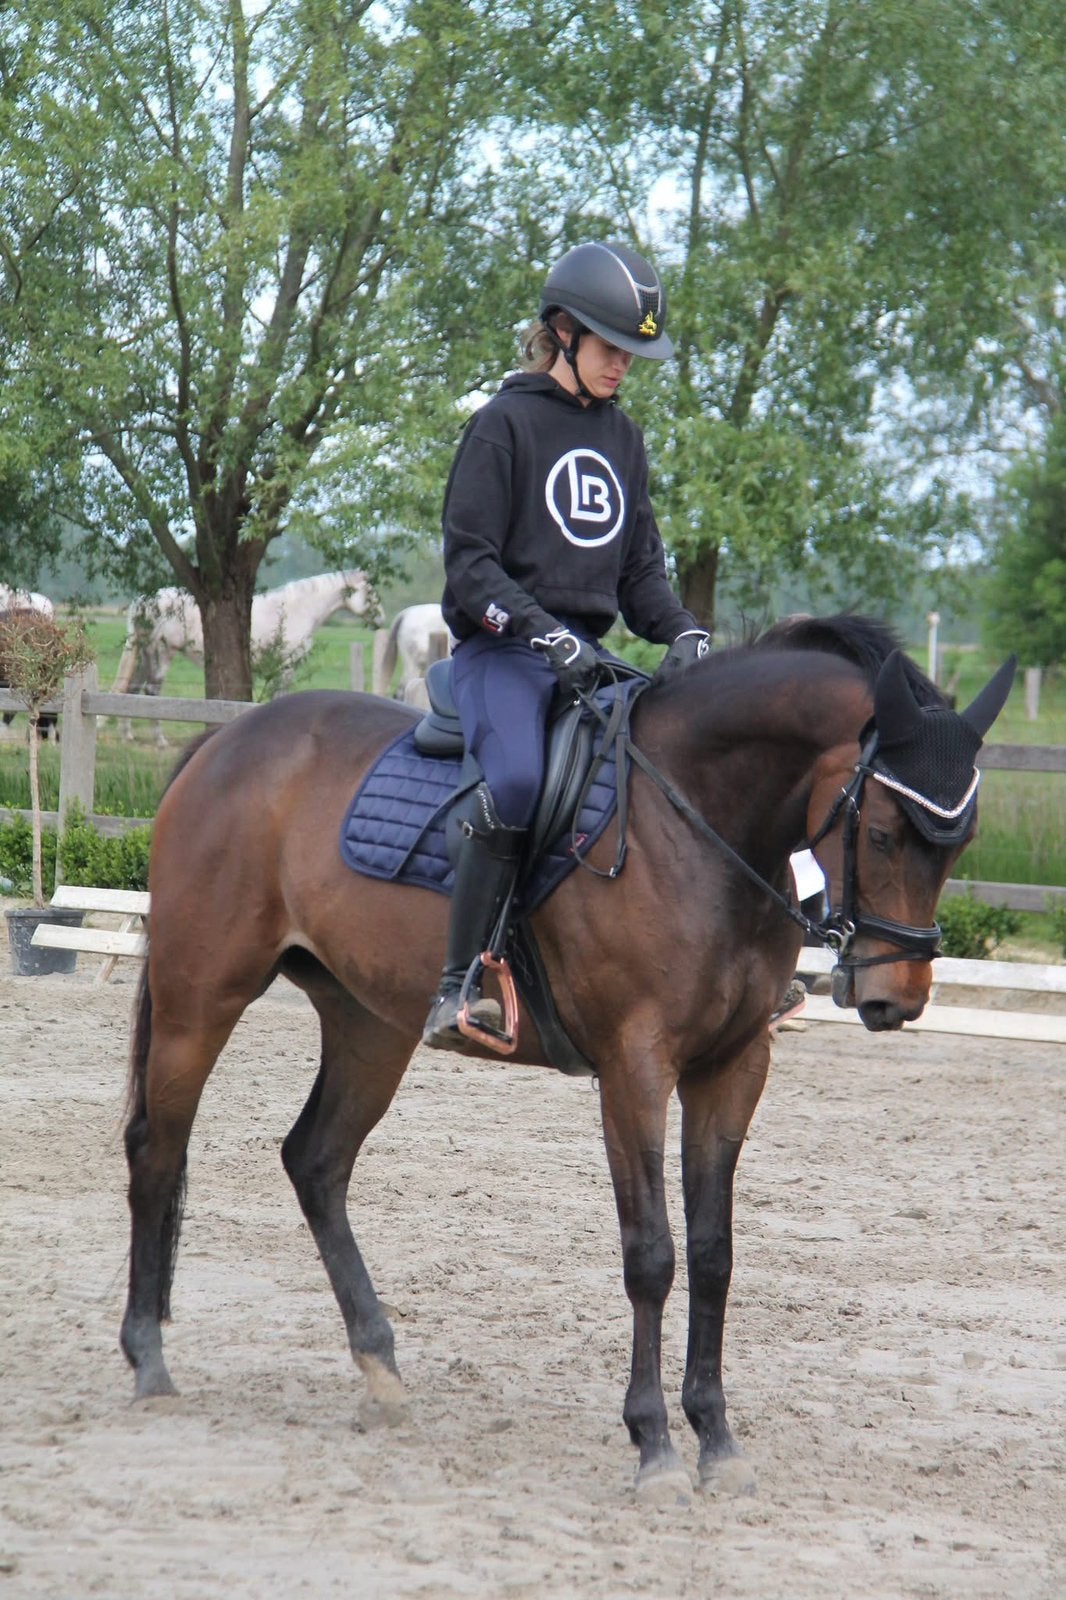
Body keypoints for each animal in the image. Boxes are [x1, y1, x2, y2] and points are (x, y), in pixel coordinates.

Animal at [112, 571, 383, 741]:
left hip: (145, 654)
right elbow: (280, 695)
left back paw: (127, 735)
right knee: (151, 692)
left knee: (132, 691)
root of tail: (146, 601)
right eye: (370, 592)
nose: (381, 620)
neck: (298, 609)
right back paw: (159, 741)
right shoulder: (286, 666)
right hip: (162, 653)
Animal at [120, 614, 1014, 1498]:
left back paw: (379, 1368)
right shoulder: (635, 1068)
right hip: (203, 998)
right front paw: (654, 1445)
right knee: (157, 1151)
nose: (897, 998)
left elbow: (714, 1253)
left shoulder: (733, 1068)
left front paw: (716, 1438)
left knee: (315, 1161)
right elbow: (651, 1253)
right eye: (883, 832)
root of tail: (231, 737)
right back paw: (148, 1360)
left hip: (368, 1023)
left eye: (961, 840)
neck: (698, 822)